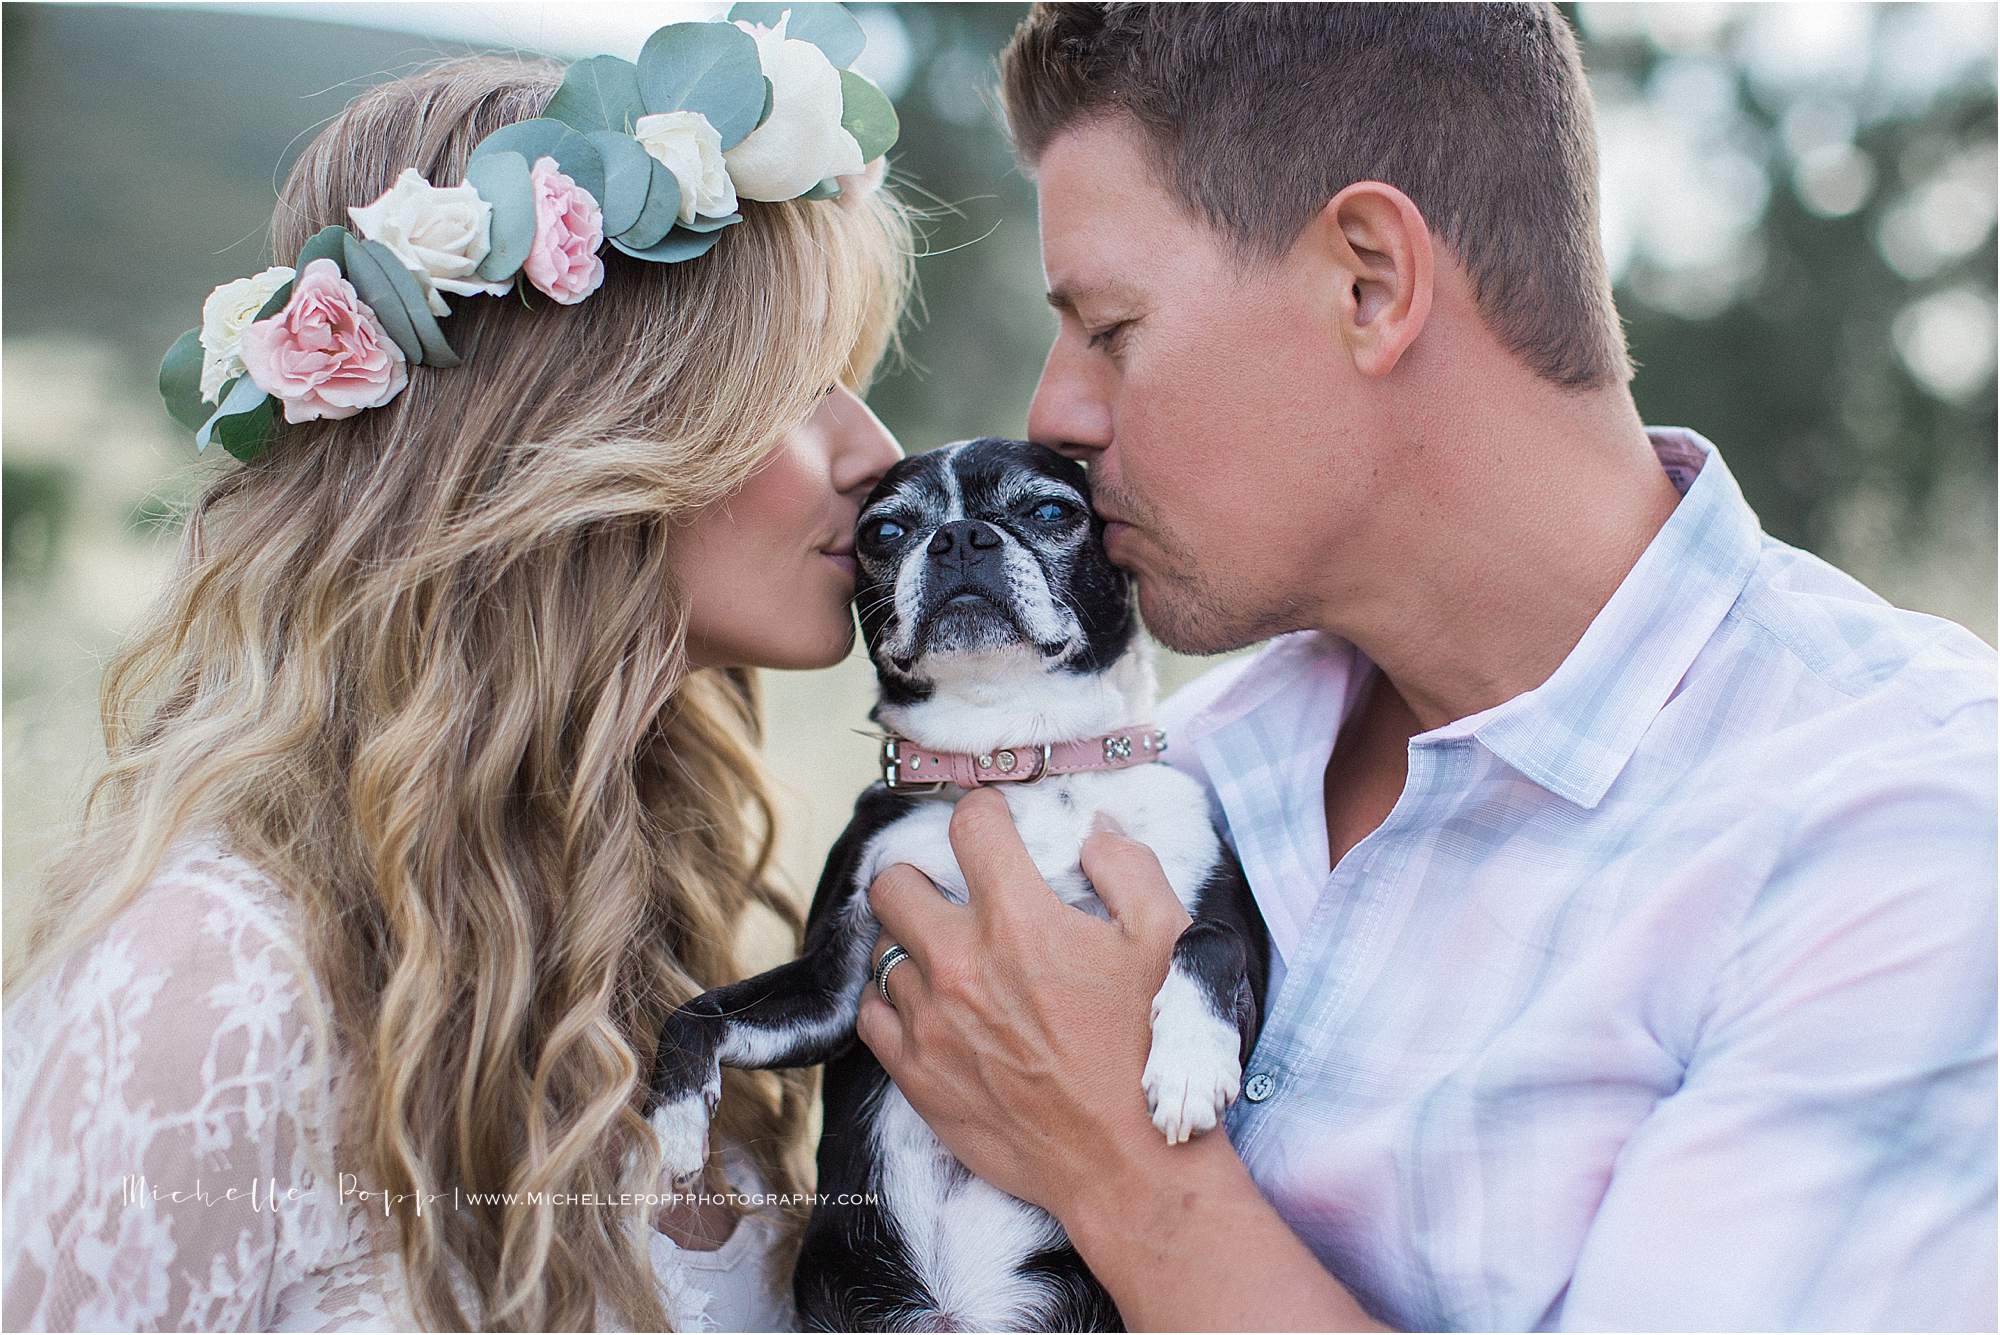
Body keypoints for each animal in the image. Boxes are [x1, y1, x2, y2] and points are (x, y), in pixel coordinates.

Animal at [652, 439, 1264, 1335]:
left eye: (1051, 510)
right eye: (883, 530)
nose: (959, 536)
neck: (1012, 762)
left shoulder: (1235, 938)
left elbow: (1208, 938)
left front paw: (1187, 1062)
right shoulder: (831, 991)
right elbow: (693, 1015)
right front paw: (672, 1124)